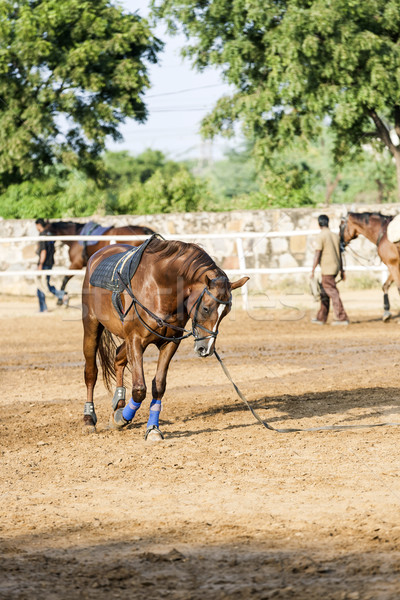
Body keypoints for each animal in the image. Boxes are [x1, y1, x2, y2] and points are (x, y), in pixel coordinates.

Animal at [81, 236, 248, 440]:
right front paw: (120, 419)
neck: (159, 286)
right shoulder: (135, 340)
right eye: (206, 308)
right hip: (92, 327)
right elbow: (139, 389)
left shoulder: (170, 343)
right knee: (91, 372)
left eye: (226, 312)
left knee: (118, 358)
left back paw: (119, 401)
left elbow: (159, 386)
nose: (206, 349)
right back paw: (89, 419)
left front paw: (152, 428)